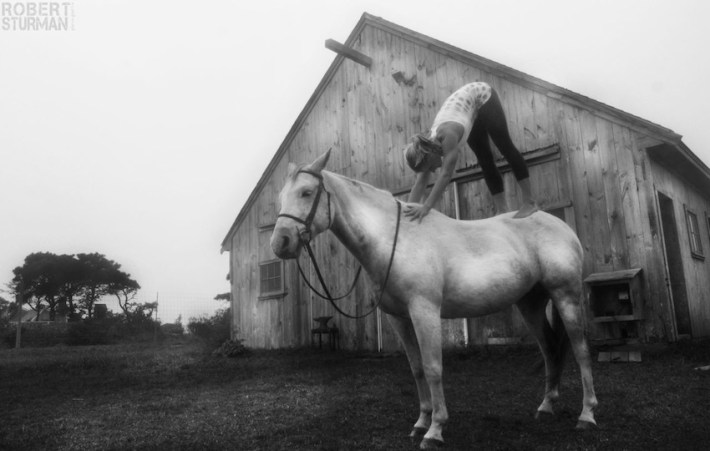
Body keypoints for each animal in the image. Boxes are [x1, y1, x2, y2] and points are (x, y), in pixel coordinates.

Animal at [270, 150, 597, 450]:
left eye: (306, 192)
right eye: (281, 197)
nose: (280, 243)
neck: (395, 240)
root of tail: (560, 226)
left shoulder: (424, 310)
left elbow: (432, 367)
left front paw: (435, 430)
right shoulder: (398, 318)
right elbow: (416, 369)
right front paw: (420, 422)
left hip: (566, 295)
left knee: (580, 350)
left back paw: (587, 415)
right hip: (530, 304)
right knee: (549, 348)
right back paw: (546, 407)